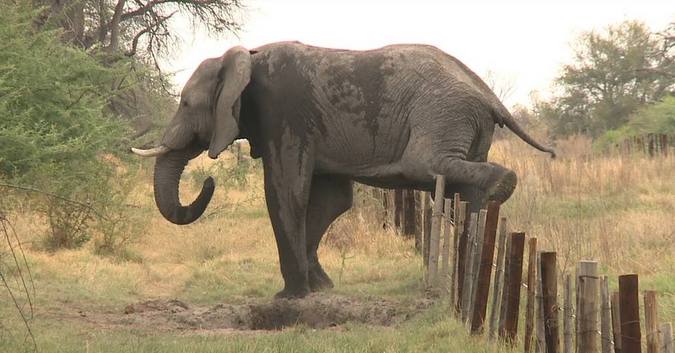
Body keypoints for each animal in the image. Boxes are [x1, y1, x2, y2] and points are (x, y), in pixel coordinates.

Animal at [131, 42, 556, 300]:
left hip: (442, 114)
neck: (244, 57)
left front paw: (289, 297)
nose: (208, 180)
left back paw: (499, 187)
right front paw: (321, 288)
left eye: (186, 104)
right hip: (467, 121)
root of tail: (488, 94)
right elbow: (331, 202)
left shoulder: (283, 113)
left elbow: (285, 191)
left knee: (427, 165)